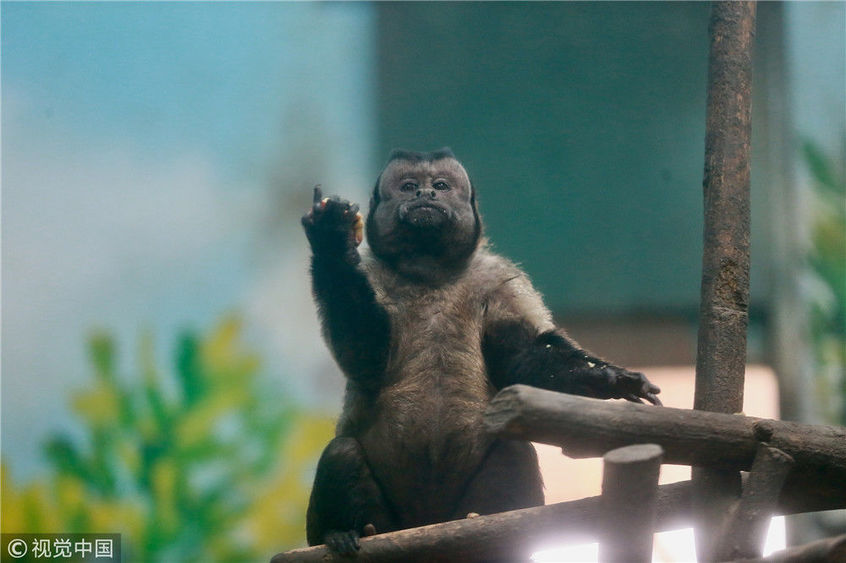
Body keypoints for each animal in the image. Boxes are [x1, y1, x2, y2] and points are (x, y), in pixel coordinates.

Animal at [302, 149, 664, 556]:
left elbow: (523, 357)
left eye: (440, 185)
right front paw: (332, 239)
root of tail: (427, 523)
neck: (429, 272)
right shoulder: (372, 274)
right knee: (342, 453)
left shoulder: (499, 277)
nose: (425, 194)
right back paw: (345, 532)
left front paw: (608, 379)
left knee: (513, 450)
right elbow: (364, 358)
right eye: (409, 186)